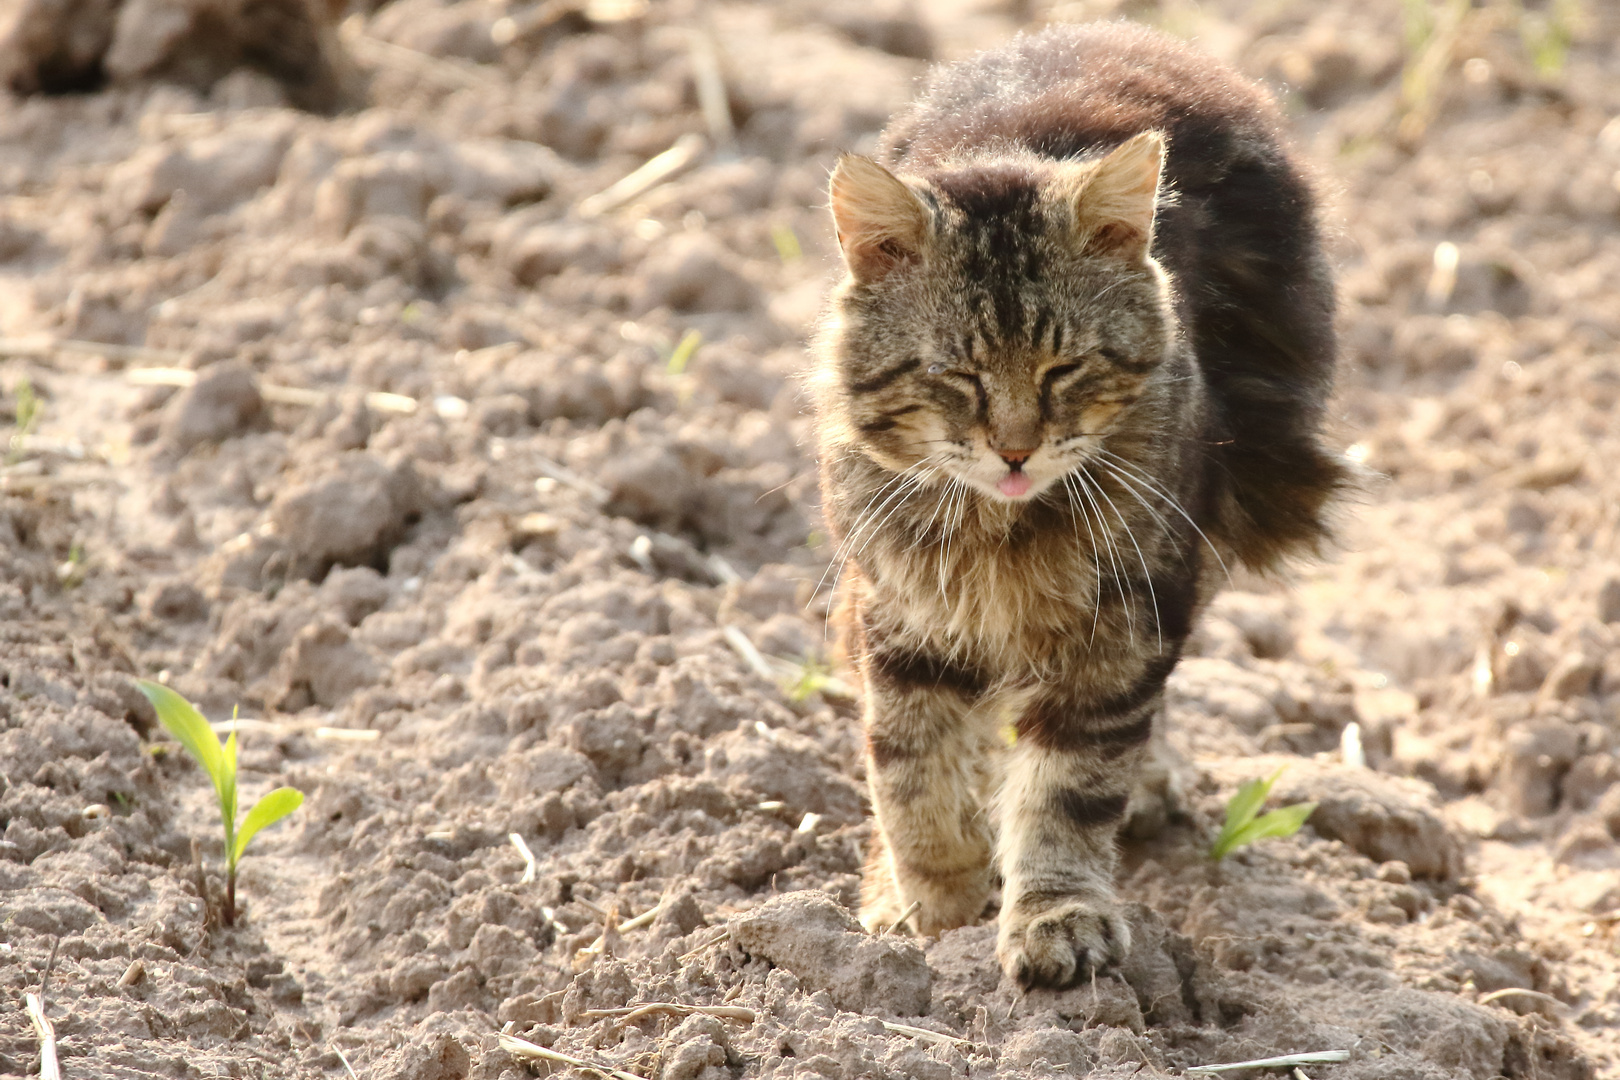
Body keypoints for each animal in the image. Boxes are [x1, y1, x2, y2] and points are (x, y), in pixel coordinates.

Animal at [803, 21, 1347, 990]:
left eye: (1064, 368)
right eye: (958, 376)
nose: (1015, 449)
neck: (1003, 532)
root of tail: (1113, 29)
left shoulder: (1126, 616)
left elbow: (1068, 788)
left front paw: (1053, 917)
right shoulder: (902, 614)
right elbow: (911, 768)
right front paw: (935, 913)